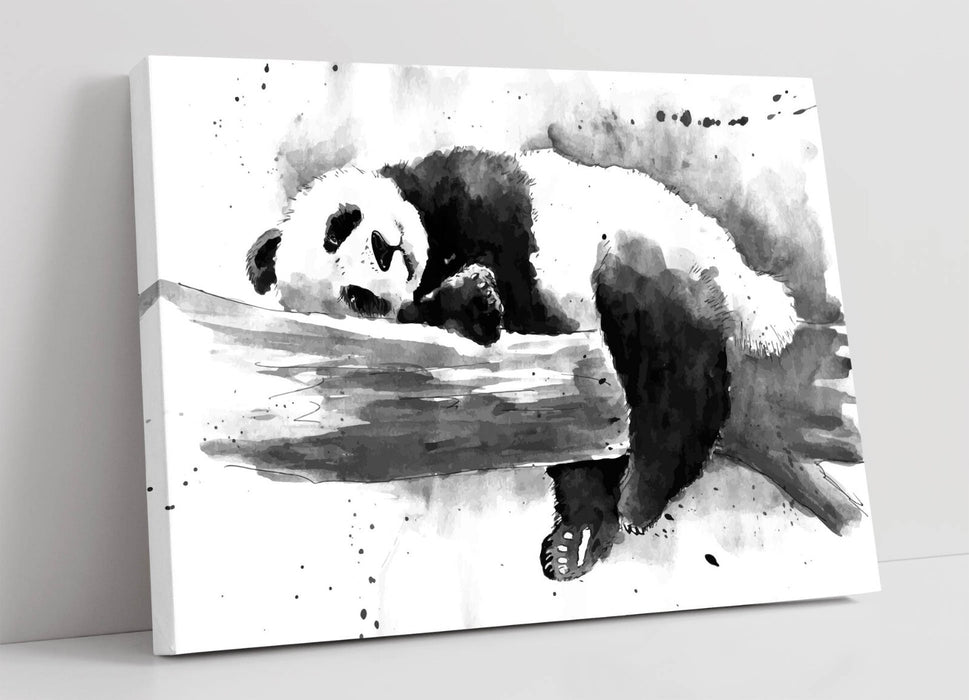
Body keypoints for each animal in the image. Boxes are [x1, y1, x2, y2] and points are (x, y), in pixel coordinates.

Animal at [246, 147, 797, 581]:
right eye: (358, 299)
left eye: (340, 226)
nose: (386, 250)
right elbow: (447, 311)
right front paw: (475, 301)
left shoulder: (462, 187)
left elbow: (501, 226)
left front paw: (481, 291)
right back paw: (580, 536)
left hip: (653, 245)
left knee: (667, 354)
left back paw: (644, 488)